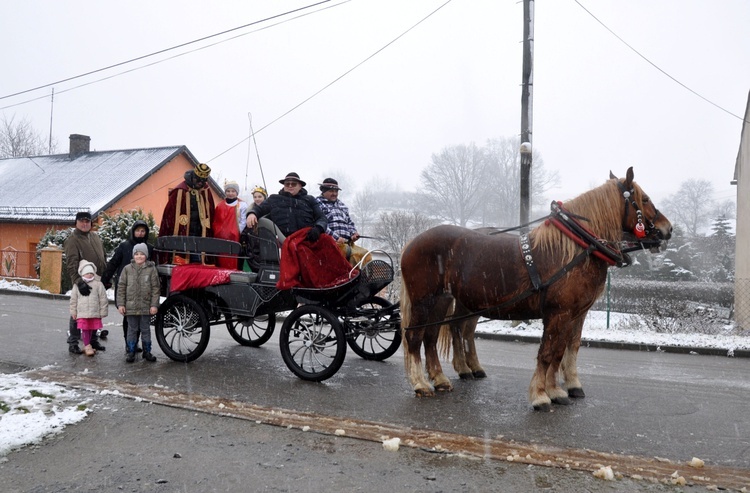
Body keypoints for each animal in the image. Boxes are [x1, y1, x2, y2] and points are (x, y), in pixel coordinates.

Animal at [402, 169, 672, 412]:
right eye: (644, 199)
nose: (667, 228)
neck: (576, 248)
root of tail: (412, 241)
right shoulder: (558, 314)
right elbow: (547, 353)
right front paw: (541, 396)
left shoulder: (575, 314)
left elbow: (563, 351)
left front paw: (558, 390)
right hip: (424, 301)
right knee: (416, 337)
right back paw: (421, 383)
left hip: (443, 301)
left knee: (433, 336)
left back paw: (441, 378)